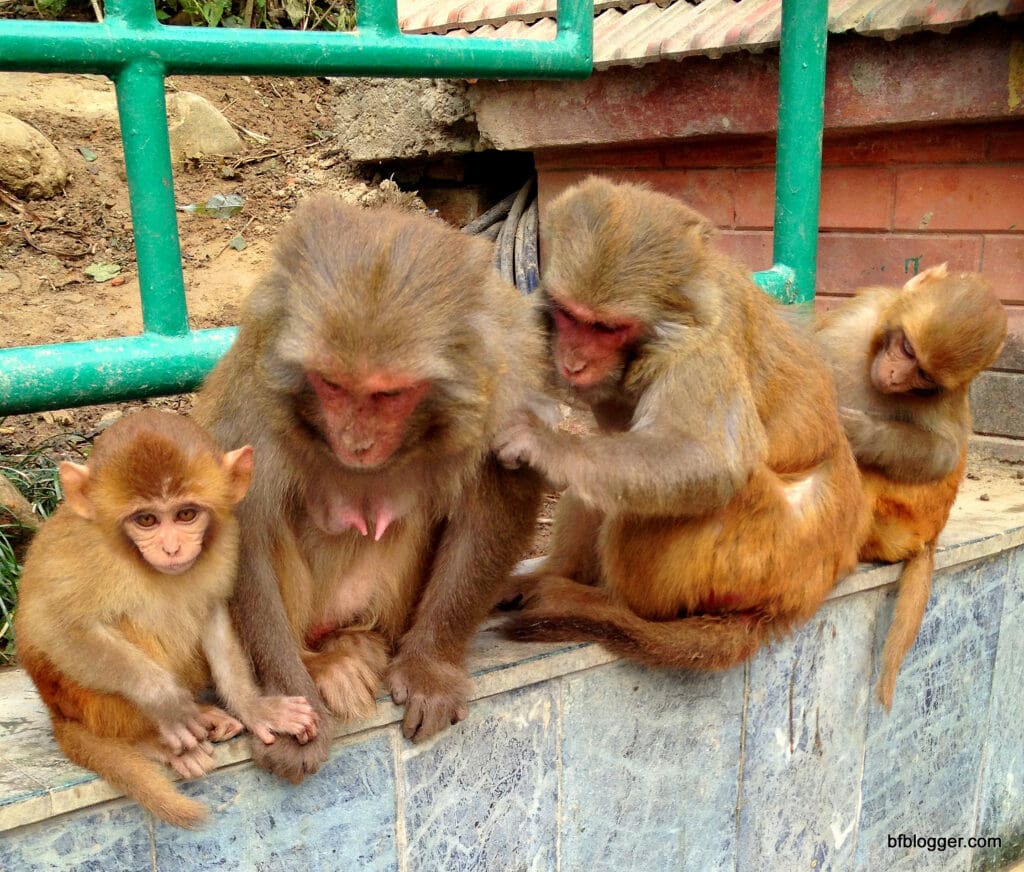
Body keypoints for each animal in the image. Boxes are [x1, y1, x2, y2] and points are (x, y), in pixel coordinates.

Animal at [14, 410, 318, 828]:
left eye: (186, 514)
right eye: (146, 520)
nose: (172, 548)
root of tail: (57, 713)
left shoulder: (226, 537)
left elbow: (212, 610)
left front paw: (254, 707)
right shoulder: (88, 552)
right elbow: (55, 628)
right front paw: (166, 702)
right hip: (84, 702)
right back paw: (148, 738)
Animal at [193, 195, 545, 782]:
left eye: (388, 395)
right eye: (332, 385)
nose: (355, 441)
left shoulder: (506, 375)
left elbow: (494, 510)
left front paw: (430, 668)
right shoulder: (256, 382)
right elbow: (244, 527)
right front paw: (292, 706)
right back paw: (320, 664)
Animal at [493, 176, 867, 670]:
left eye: (606, 329)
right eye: (570, 316)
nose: (573, 362)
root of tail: (804, 589)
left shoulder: (701, 350)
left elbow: (708, 460)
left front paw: (542, 444)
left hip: (753, 554)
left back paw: (599, 603)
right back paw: (555, 576)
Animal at [814, 264, 1007, 708]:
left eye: (921, 373)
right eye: (905, 348)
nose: (892, 376)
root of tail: (931, 536)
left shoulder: (949, 390)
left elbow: (944, 455)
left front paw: (859, 433)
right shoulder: (858, 317)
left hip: (899, 520)